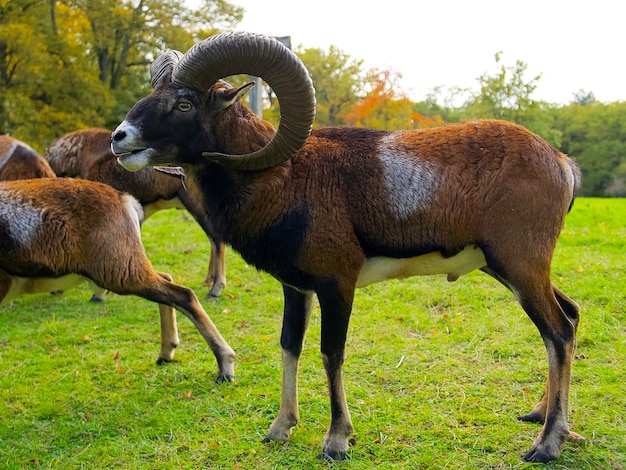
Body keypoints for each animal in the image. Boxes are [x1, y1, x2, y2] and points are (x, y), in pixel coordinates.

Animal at [0, 177, 234, 382]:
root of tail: (124, 199)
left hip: (121, 273)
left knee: (184, 295)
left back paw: (225, 368)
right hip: (127, 267)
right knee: (168, 282)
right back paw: (166, 355)